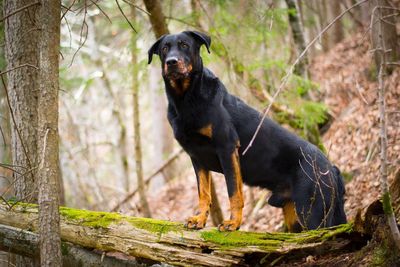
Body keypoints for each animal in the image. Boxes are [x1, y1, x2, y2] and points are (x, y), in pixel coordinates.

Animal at [148, 30, 346, 232]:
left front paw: (233, 223)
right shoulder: (196, 157)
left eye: (184, 45)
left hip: (313, 211)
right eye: (164, 49)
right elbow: (203, 193)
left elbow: (234, 192)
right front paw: (200, 219)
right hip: (295, 215)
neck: (185, 99)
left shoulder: (226, 148)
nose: (171, 62)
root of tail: (331, 168)